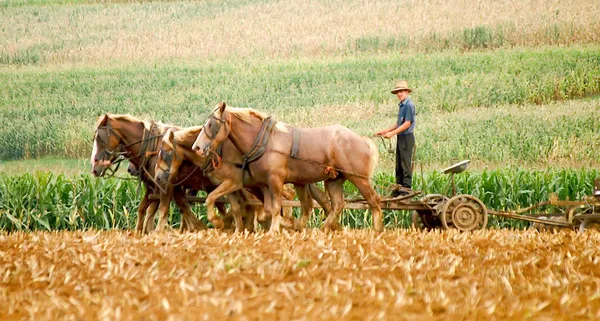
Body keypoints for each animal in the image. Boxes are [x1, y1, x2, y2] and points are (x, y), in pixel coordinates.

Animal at [90, 114, 226, 231]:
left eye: (100, 137)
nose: (94, 168)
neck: (153, 150)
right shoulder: (154, 187)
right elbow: (145, 209)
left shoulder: (166, 185)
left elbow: (165, 209)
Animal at [155, 126, 332, 231]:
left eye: (166, 152)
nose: (157, 177)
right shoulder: (229, 186)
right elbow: (235, 208)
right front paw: (237, 230)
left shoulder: (233, 183)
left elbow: (211, 199)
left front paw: (219, 222)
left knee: (289, 195)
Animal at [191, 104, 380, 231]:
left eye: (211, 124)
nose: (197, 147)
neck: (265, 142)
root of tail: (363, 140)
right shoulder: (264, 184)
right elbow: (268, 209)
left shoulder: (274, 180)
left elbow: (275, 207)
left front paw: (276, 230)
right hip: (334, 180)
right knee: (337, 205)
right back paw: (322, 229)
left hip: (358, 178)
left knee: (374, 201)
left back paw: (377, 230)